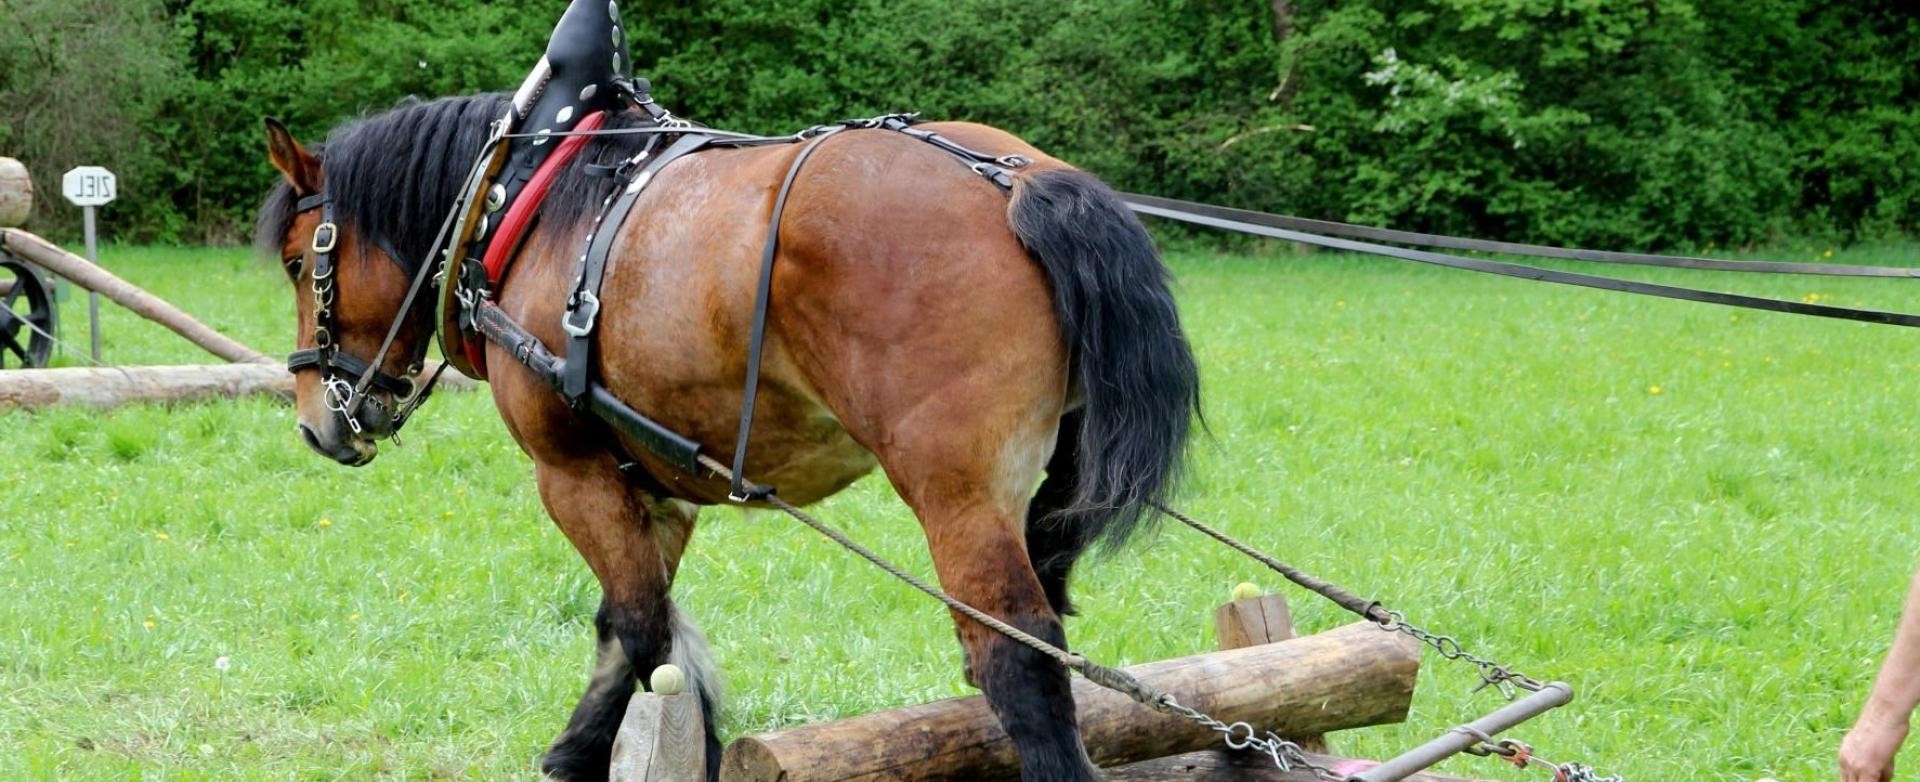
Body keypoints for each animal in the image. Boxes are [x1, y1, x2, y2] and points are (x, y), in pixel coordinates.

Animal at [257, 92, 1199, 781]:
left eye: (301, 261)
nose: (316, 423)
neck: (530, 205)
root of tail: (1016, 184)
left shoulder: (570, 473)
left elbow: (648, 638)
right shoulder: (650, 484)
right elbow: (626, 626)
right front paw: (579, 750)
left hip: (956, 495)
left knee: (1018, 658)